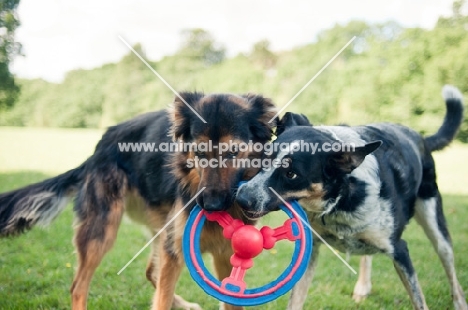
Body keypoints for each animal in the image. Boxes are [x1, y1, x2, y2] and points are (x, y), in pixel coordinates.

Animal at [0, 92, 276, 310]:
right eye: (199, 153)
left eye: (233, 152)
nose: (210, 206)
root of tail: (100, 146)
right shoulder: (174, 250)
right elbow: (161, 298)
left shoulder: (224, 254)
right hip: (102, 232)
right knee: (78, 287)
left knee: (150, 273)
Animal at [238, 85, 468, 310]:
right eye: (264, 159)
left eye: (291, 174)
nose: (241, 198)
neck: (342, 199)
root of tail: (420, 138)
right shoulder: (310, 251)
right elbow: (296, 300)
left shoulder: (400, 250)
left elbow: (418, 299)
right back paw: (362, 287)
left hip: (434, 222)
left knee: (449, 266)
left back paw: (459, 302)